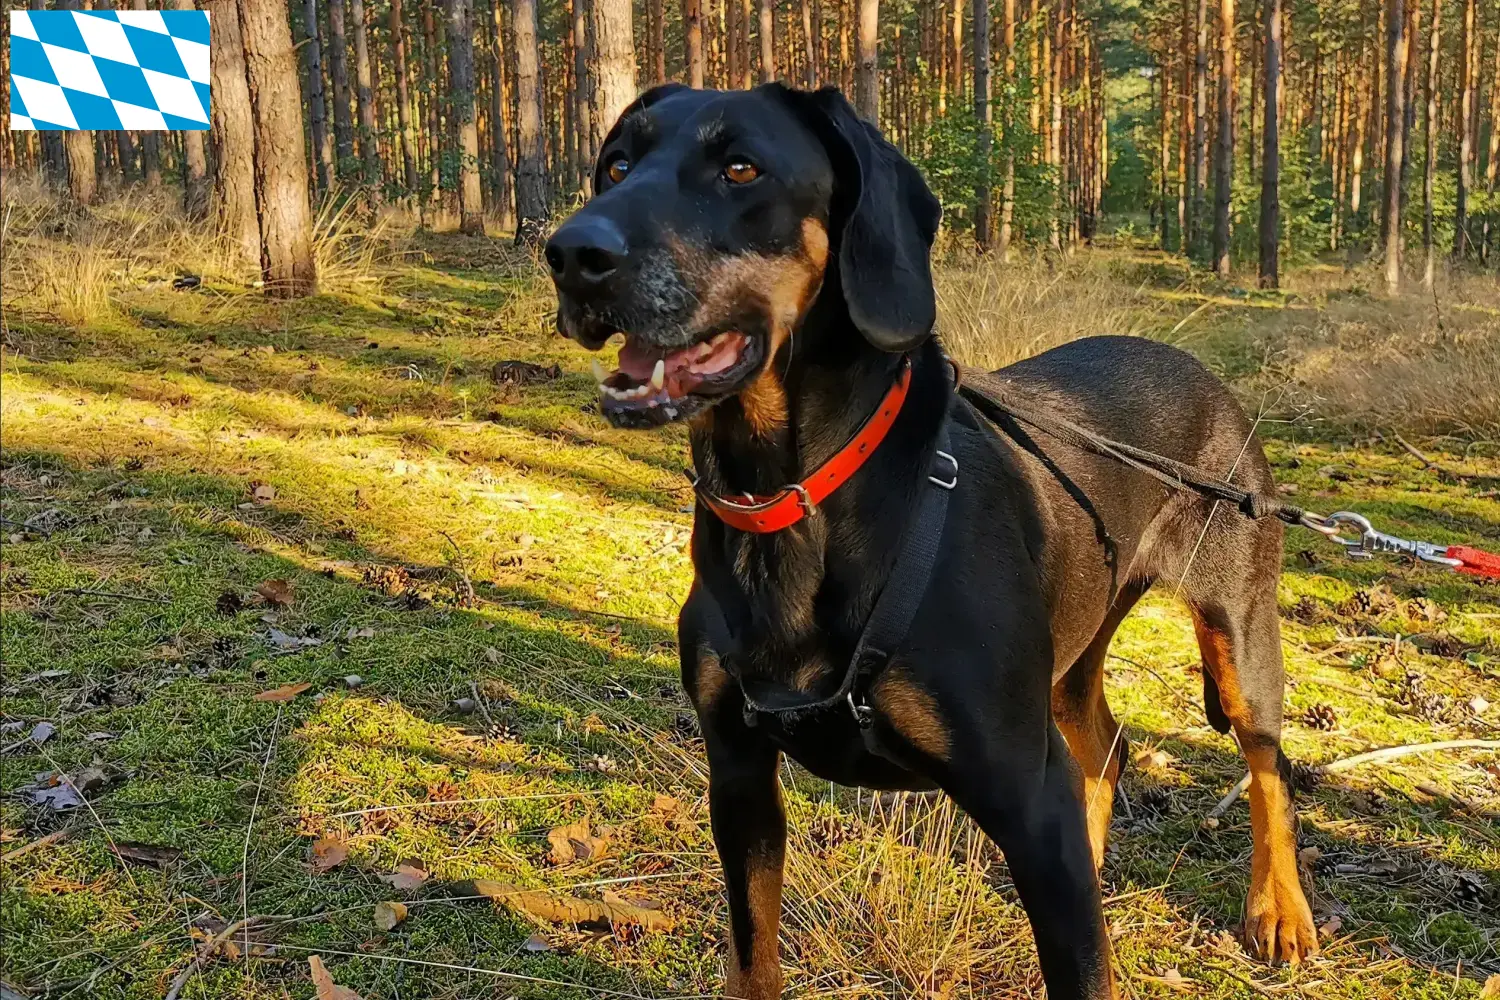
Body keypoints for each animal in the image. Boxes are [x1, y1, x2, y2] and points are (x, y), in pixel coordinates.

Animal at [543, 83, 1314, 1000]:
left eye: (741, 168)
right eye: (616, 164)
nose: (571, 254)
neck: (789, 504)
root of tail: (1208, 379)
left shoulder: (1026, 789)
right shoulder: (737, 771)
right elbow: (753, 952)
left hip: (1237, 629)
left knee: (1268, 765)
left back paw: (1280, 913)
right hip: (1074, 643)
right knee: (1105, 748)